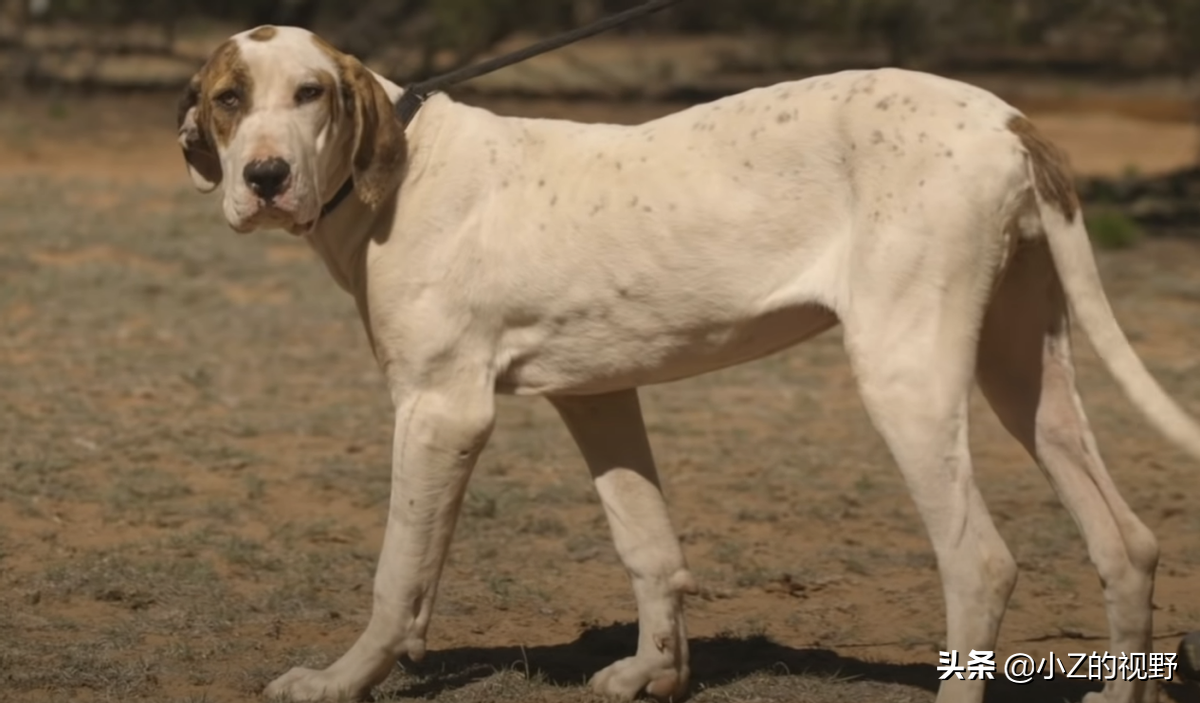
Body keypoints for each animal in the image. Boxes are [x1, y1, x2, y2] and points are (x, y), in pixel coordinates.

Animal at [175, 21, 1200, 700]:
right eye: (230, 101)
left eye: (310, 94)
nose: (263, 178)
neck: (395, 170)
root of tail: (1006, 116)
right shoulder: (598, 395)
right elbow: (650, 546)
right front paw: (653, 671)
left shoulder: (440, 410)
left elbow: (398, 575)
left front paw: (340, 679)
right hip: (1021, 371)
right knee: (1128, 540)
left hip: (905, 372)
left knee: (980, 561)